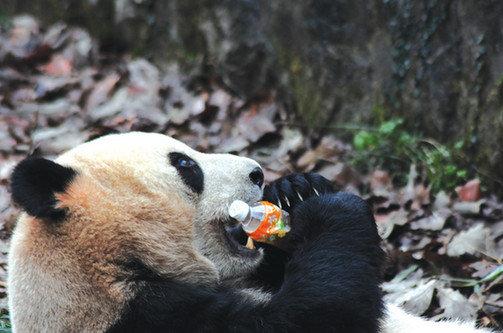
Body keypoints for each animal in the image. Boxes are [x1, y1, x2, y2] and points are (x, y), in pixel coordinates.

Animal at [7, 131, 496, 330]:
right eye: (185, 165)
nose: (258, 172)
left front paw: (297, 191)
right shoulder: (144, 320)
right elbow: (316, 318)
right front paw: (334, 211)